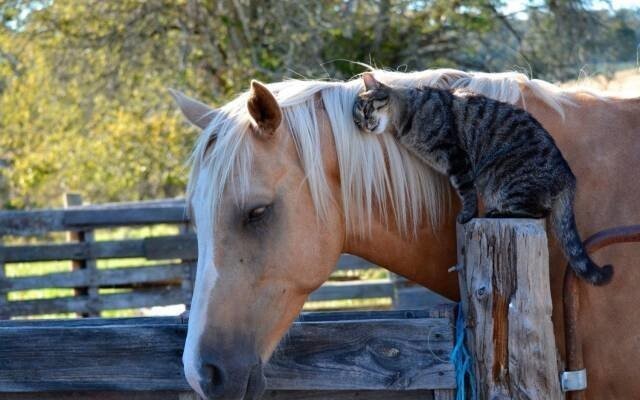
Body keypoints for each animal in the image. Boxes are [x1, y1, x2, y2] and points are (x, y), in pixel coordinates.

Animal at [352, 72, 612, 284]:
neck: (407, 115)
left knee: (537, 211)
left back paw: (497, 212)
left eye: (367, 109)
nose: (365, 124)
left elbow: (466, 191)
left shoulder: (456, 157)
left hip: (504, 179)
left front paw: (467, 215)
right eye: (357, 120)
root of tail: (568, 176)